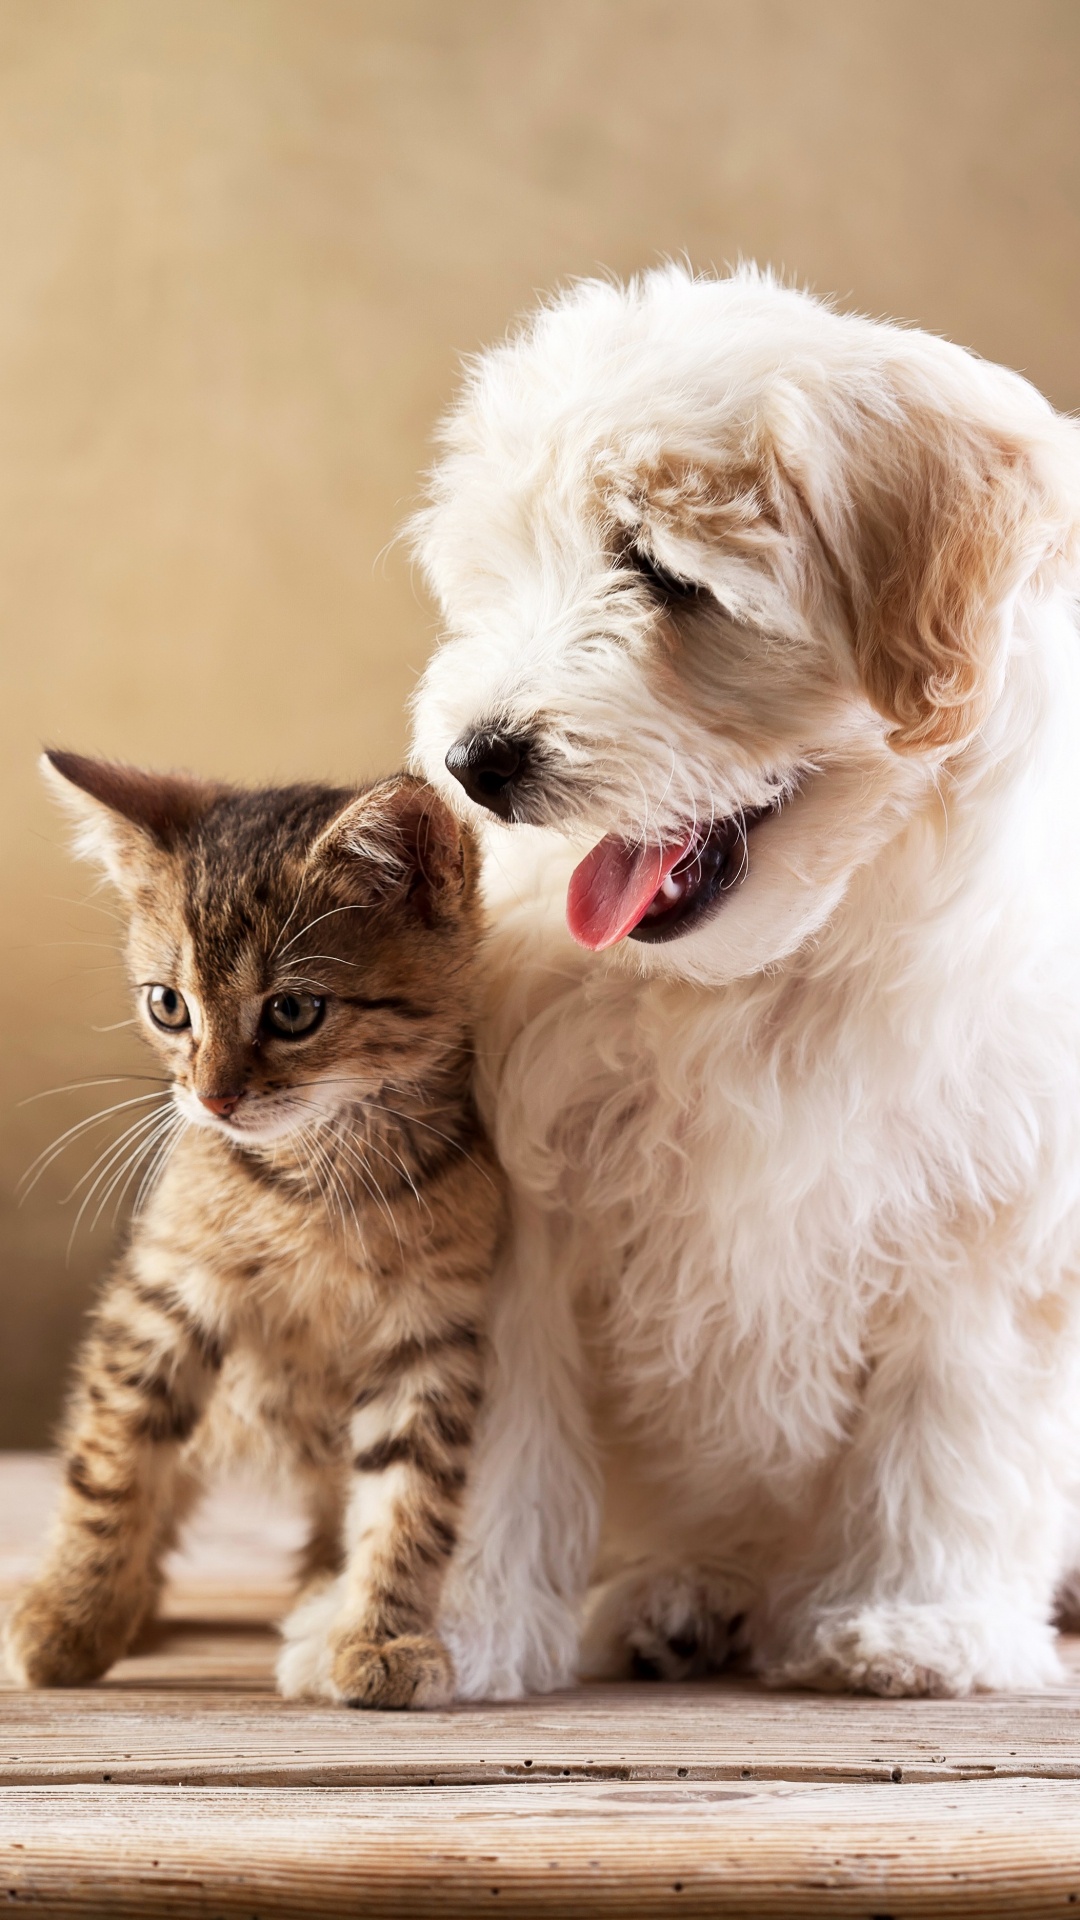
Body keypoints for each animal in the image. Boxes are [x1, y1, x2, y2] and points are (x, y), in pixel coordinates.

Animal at [5, 748, 499, 1712]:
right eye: (168, 1006)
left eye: (294, 1012)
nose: (211, 1098)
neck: (314, 1183)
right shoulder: (162, 1296)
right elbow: (111, 1464)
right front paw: (71, 1615)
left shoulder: (431, 1334)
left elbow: (411, 1500)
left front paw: (381, 1634)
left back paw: (318, 1591)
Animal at [407, 266, 1076, 1697]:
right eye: (505, 572)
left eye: (664, 575)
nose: (477, 758)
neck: (767, 977)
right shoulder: (518, 1195)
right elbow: (493, 1420)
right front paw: (438, 1621)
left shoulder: (997, 1212)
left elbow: (954, 1418)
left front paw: (914, 1623)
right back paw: (683, 1595)